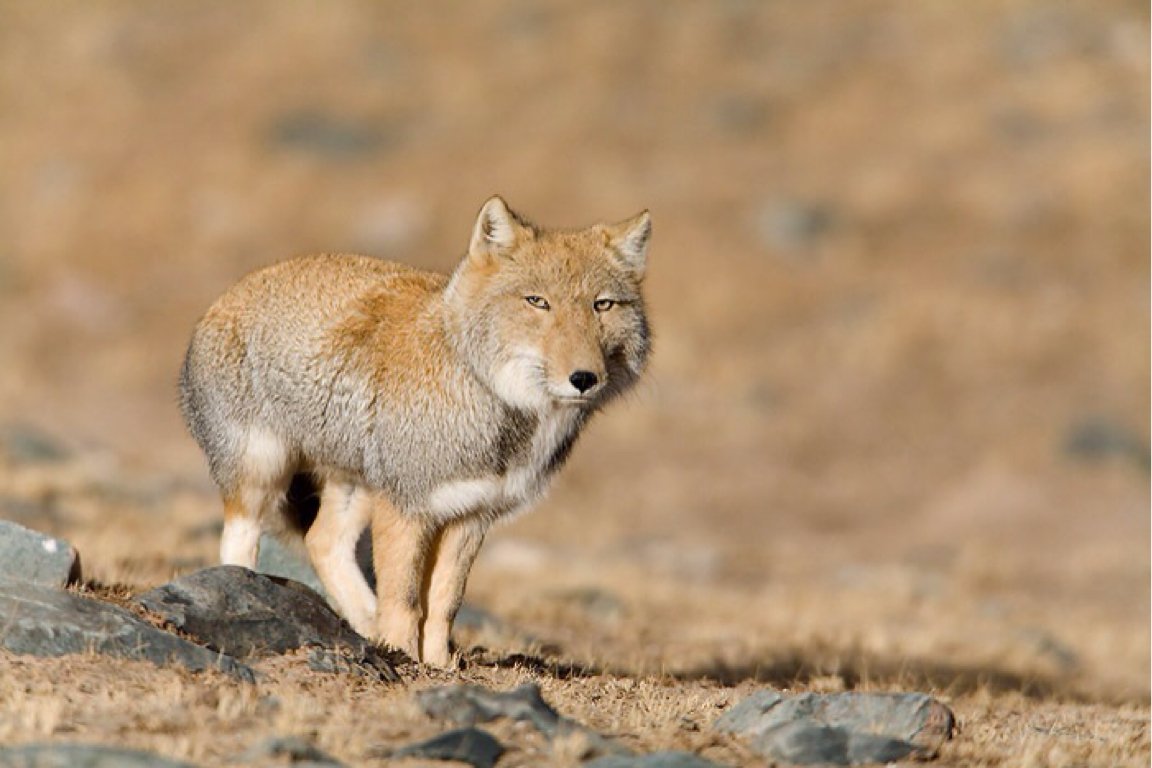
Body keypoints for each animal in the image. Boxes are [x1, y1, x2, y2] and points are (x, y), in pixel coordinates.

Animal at [178, 196, 651, 667]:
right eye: (538, 302)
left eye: (603, 305)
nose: (584, 379)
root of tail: (229, 294)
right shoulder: (405, 507)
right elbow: (405, 600)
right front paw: (402, 656)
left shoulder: (469, 515)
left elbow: (443, 603)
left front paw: (438, 664)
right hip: (261, 476)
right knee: (239, 543)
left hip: (355, 488)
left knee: (322, 542)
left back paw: (366, 623)